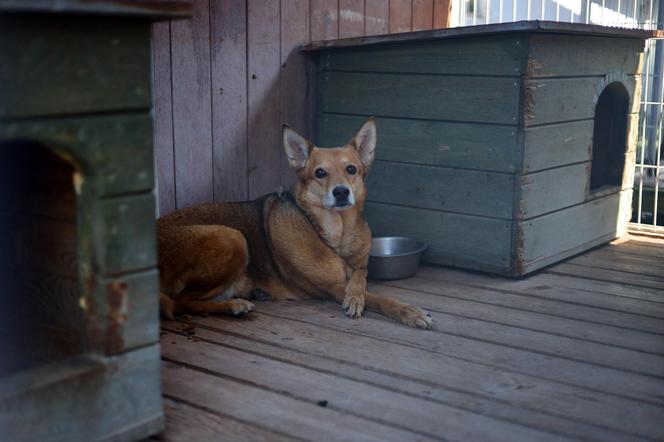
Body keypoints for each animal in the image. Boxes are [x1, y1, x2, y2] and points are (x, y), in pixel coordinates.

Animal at [158, 119, 434, 330]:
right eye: (320, 173)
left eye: (351, 169)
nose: (341, 192)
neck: (337, 235)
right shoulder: (333, 288)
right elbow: (377, 297)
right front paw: (409, 311)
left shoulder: (359, 266)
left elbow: (360, 276)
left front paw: (356, 295)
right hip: (231, 236)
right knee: (180, 302)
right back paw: (235, 304)